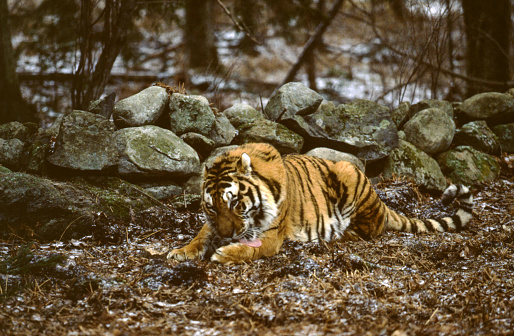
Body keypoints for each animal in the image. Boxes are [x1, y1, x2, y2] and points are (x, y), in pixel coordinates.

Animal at [168, 143, 472, 264]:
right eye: (212, 207)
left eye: (235, 203)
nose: (226, 235)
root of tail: (382, 203)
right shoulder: (213, 224)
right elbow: (201, 234)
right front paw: (181, 251)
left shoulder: (271, 236)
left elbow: (251, 249)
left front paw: (224, 253)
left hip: (349, 173)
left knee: (369, 230)